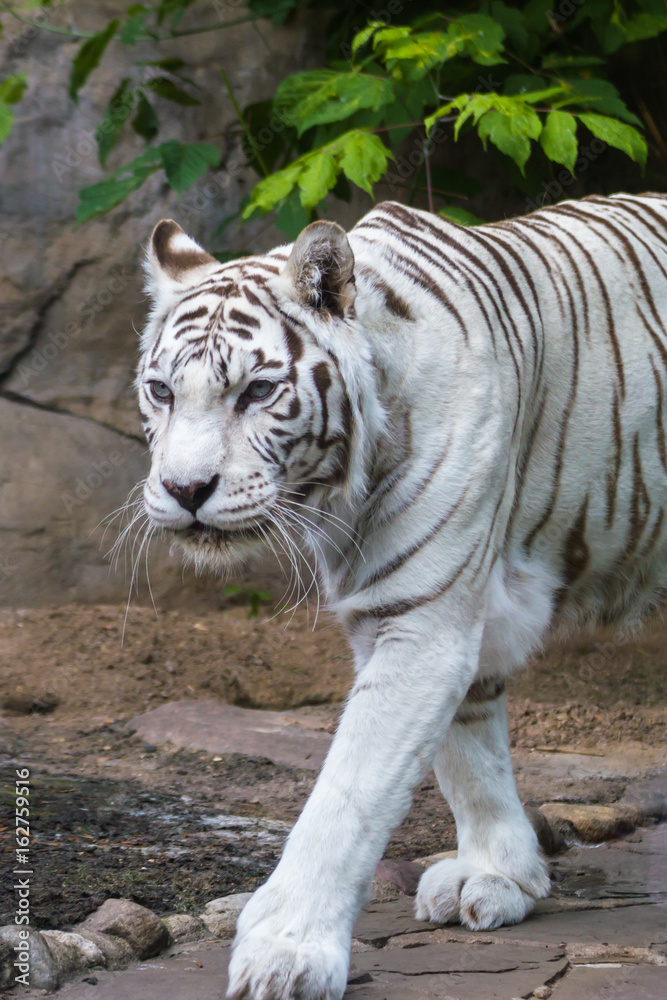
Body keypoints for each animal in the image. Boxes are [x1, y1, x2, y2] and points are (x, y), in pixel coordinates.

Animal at [137, 193, 667, 1000]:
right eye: (162, 391)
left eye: (258, 391)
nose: (185, 489)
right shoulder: (408, 611)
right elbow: (469, 753)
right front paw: (497, 874)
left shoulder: (423, 620)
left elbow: (349, 794)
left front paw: (289, 950)